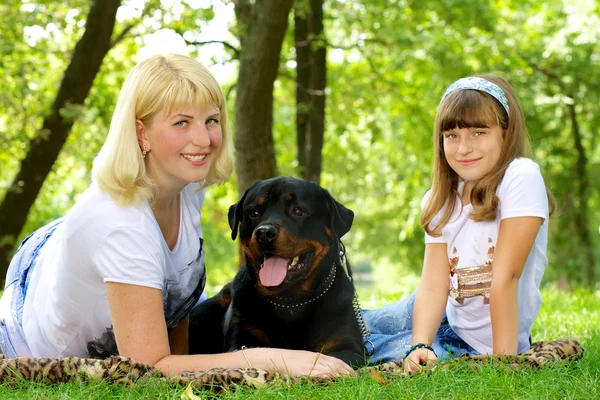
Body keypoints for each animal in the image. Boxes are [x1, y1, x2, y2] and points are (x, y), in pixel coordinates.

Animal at [189, 177, 366, 368]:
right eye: (253, 212)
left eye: (298, 210)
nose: (264, 233)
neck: (291, 300)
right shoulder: (239, 342)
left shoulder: (350, 348)